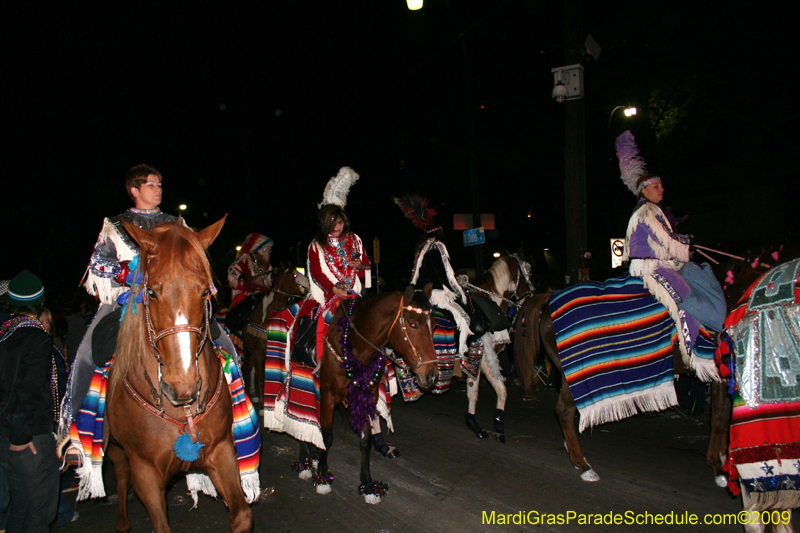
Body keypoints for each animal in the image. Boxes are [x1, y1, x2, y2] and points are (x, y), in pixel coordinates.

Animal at [104, 217, 253, 532]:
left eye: (205, 292)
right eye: (150, 292)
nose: (181, 388)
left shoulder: (221, 451)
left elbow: (242, 515)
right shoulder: (145, 472)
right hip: (115, 449)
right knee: (121, 477)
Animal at [241, 268, 306, 406]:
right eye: (294, 275)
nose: (309, 285)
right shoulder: (258, 353)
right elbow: (261, 379)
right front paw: (261, 404)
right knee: (252, 368)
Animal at [298, 284, 438, 500]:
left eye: (434, 326)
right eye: (413, 324)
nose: (431, 375)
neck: (354, 342)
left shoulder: (367, 395)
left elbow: (365, 441)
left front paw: (367, 485)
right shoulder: (328, 395)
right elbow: (327, 437)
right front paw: (322, 476)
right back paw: (305, 462)